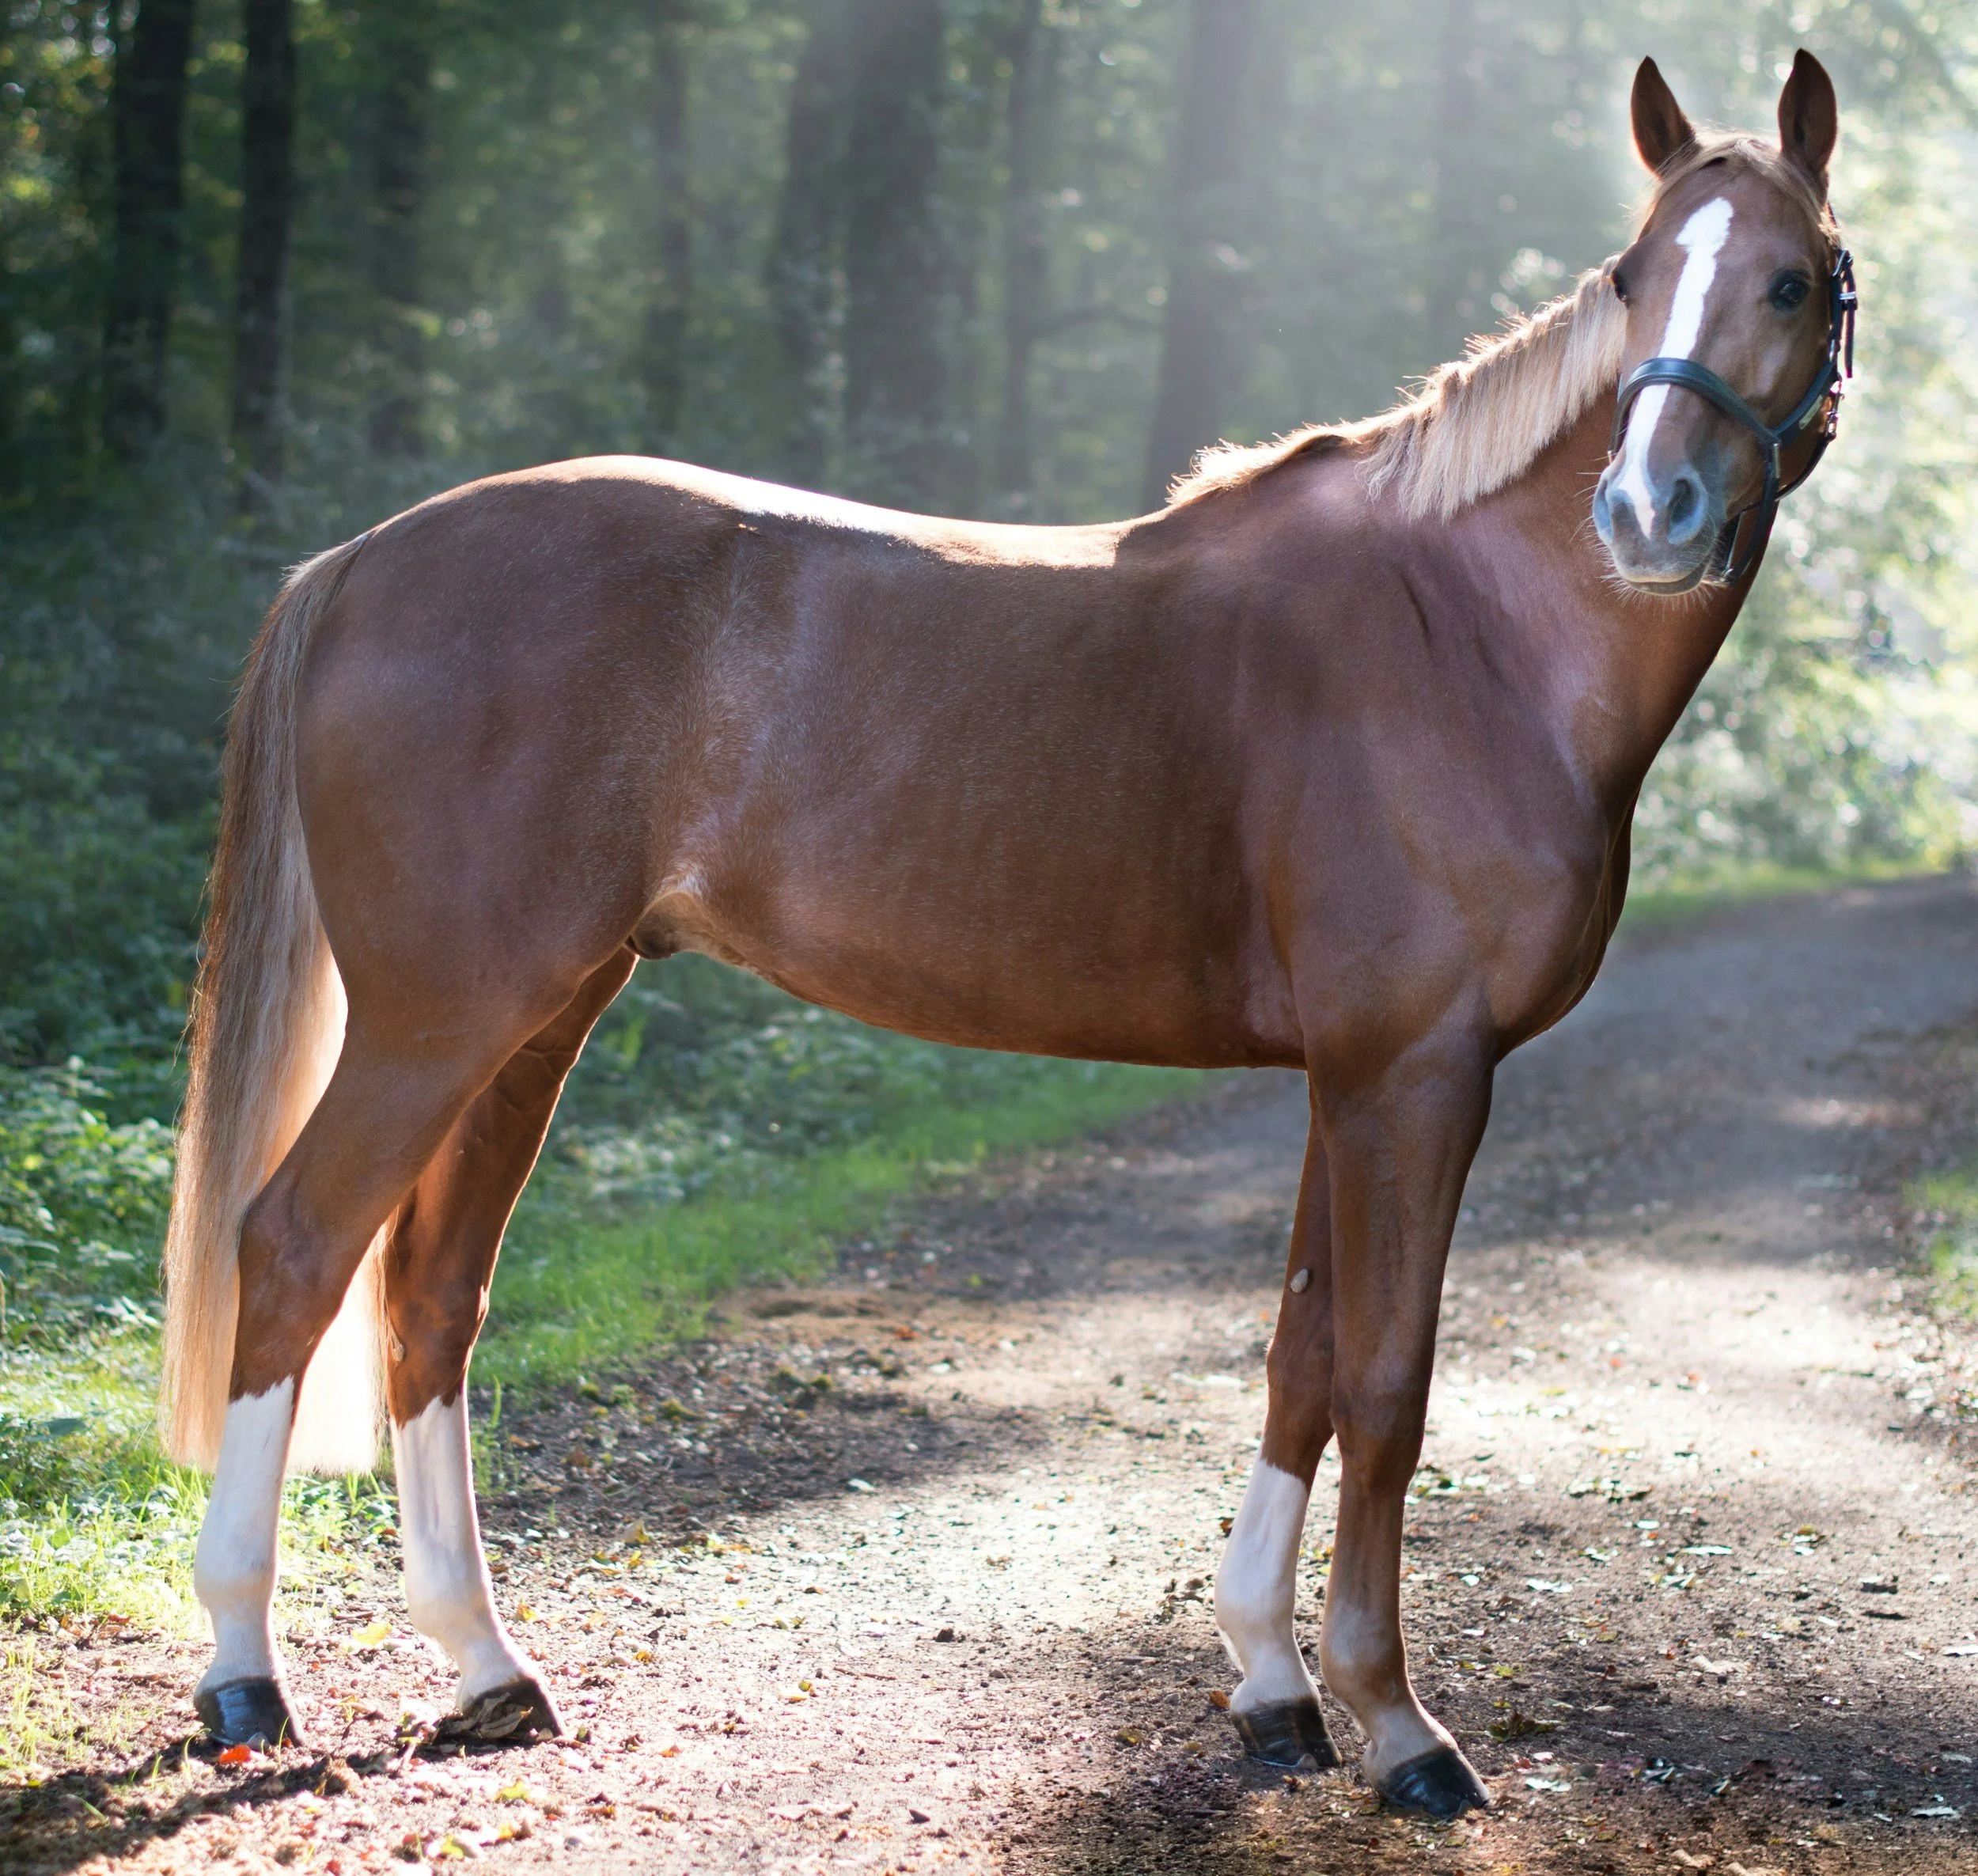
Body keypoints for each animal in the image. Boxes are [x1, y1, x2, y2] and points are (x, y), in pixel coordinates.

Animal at [161, 51, 1852, 1820]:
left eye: (1789, 280)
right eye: (1633, 279)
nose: (1645, 511)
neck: (1467, 631)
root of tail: (359, 562)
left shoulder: (1349, 1076)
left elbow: (1301, 1357)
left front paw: (1268, 1685)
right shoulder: (1418, 1073)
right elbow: (1386, 1383)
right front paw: (1394, 1721)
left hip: (535, 1015)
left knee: (431, 1293)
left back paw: (486, 1669)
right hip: (440, 1019)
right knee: (296, 1247)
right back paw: (244, 1674)